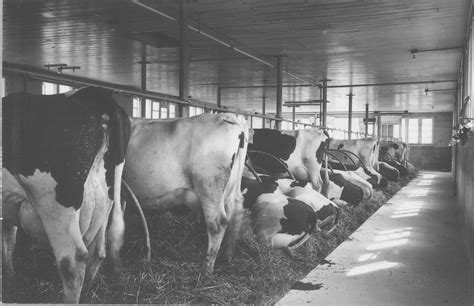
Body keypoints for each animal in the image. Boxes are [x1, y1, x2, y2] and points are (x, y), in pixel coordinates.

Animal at [2, 87, 131, 302]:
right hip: (105, 199)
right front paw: (9, 280)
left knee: (73, 260)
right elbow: (8, 241)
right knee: (98, 251)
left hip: (56, 203)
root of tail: (95, 94)